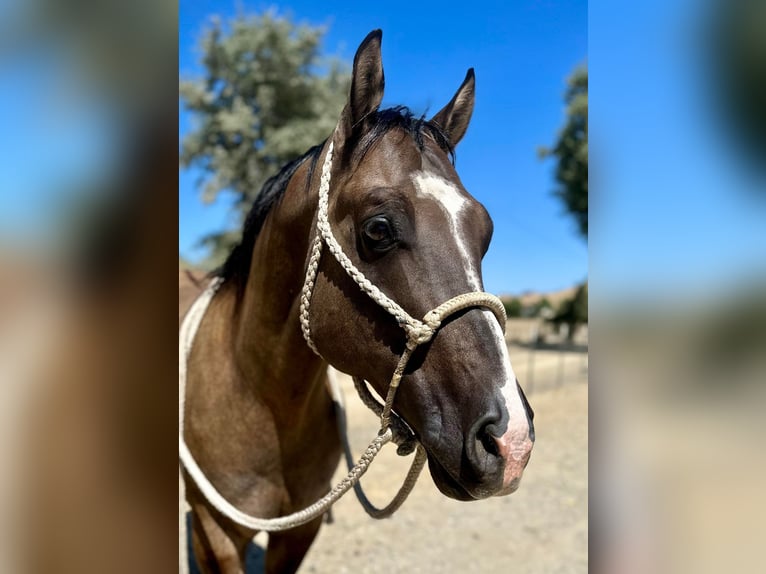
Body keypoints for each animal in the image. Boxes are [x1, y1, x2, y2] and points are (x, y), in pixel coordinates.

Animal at [182, 29, 536, 572]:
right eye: (378, 229)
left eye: (486, 231)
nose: (510, 440)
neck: (256, 396)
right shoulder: (213, 534)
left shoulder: (298, 531)